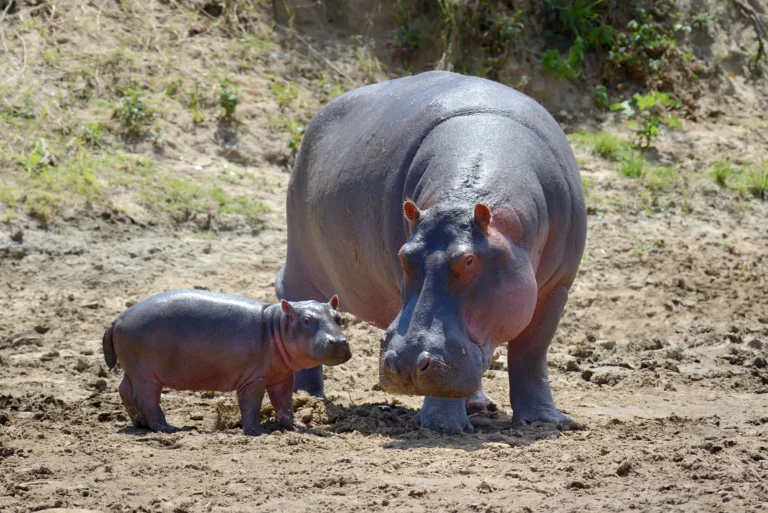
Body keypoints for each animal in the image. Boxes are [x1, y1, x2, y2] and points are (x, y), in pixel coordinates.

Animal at [102, 290, 350, 435]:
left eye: (339, 318)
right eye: (307, 320)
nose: (338, 342)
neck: (275, 325)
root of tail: (117, 318)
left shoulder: (282, 376)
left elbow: (284, 404)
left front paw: (298, 426)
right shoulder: (253, 379)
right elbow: (251, 405)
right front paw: (257, 432)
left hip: (132, 368)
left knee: (125, 389)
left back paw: (139, 424)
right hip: (146, 374)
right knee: (147, 398)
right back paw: (168, 428)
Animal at [276, 70, 586, 433]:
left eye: (469, 260)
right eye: (404, 256)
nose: (406, 363)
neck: (461, 200)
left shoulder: (556, 288)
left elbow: (531, 353)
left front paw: (546, 421)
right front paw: (442, 426)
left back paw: (478, 403)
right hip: (301, 262)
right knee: (298, 302)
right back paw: (308, 398)